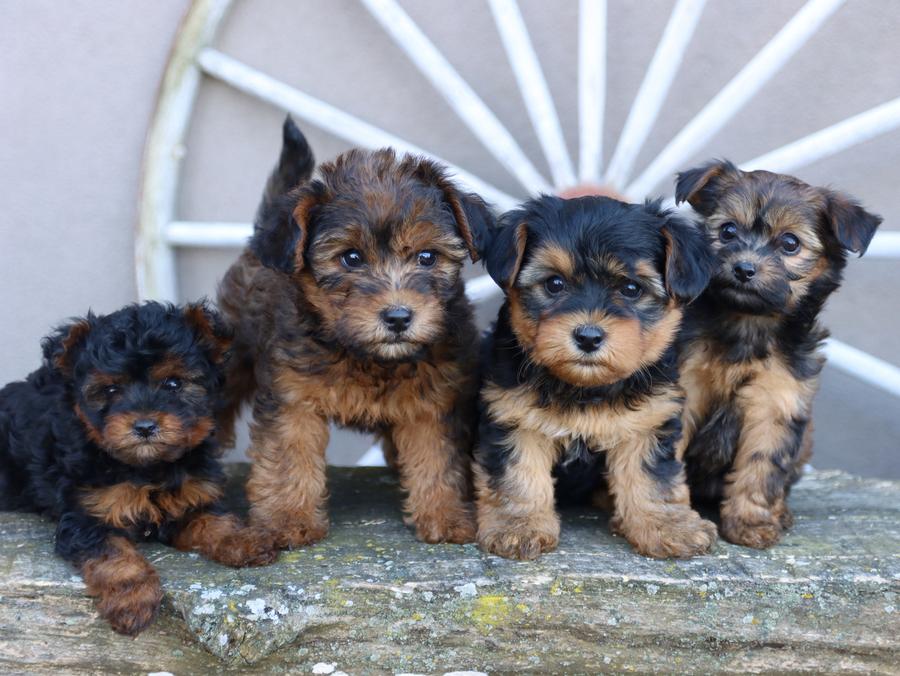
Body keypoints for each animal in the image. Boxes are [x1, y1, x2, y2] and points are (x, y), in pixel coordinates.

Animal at [0, 304, 278, 636]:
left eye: (173, 383)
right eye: (110, 389)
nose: (144, 426)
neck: (146, 468)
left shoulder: (190, 497)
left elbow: (214, 521)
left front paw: (243, 540)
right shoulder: (87, 516)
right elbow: (115, 555)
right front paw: (132, 600)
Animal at [219, 117, 496, 548]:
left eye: (427, 256)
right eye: (350, 258)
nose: (398, 317)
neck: (367, 355)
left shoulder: (435, 399)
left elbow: (437, 457)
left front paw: (444, 513)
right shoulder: (292, 399)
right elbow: (287, 458)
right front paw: (287, 518)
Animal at [478, 194, 716, 560]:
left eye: (631, 288)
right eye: (554, 283)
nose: (588, 337)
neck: (586, 388)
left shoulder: (649, 420)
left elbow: (653, 476)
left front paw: (668, 525)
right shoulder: (514, 417)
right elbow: (519, 473)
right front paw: (517, 526)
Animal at [676, 160, 880, 548]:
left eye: (789, 243)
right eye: (727, 231)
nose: (744, 268)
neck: (749, 325)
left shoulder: (777, 399)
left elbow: (762, 464)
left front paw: (750, 523)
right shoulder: (685, 386)